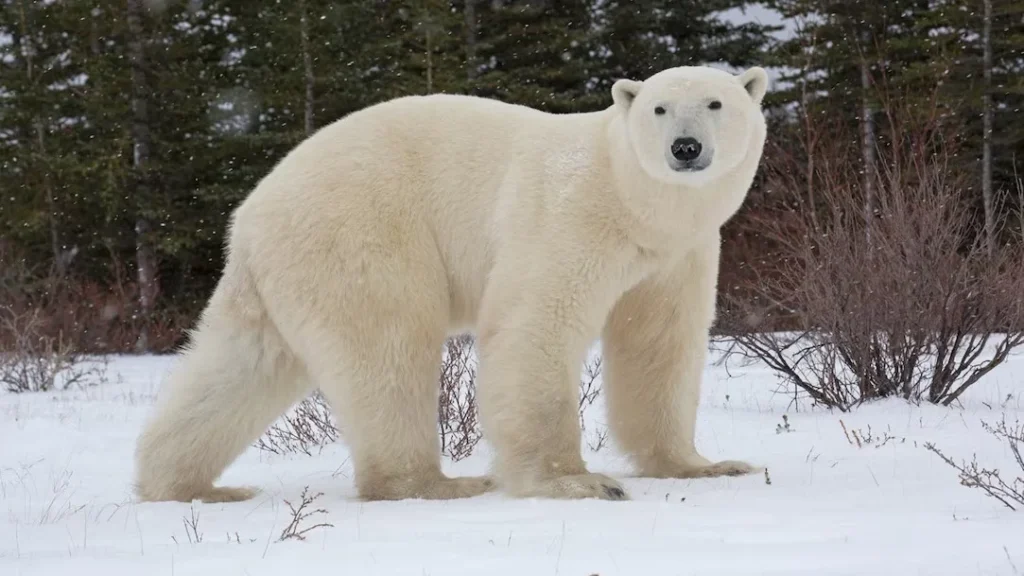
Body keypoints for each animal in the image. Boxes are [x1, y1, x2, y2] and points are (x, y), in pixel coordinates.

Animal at [133, 64, 769, 504]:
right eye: (659, 109)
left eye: (716, 102)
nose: (686, 148)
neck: (632, 202)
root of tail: (248, 216)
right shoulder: (568, 217)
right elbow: (535, 324)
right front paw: (580, 482)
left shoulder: (677, 254)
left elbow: (659, 344)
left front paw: (705, 465)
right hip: (363, 234)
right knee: (389, 350)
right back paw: (437, 483)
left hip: (282, 274)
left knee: (239, 366)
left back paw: (187, 485)